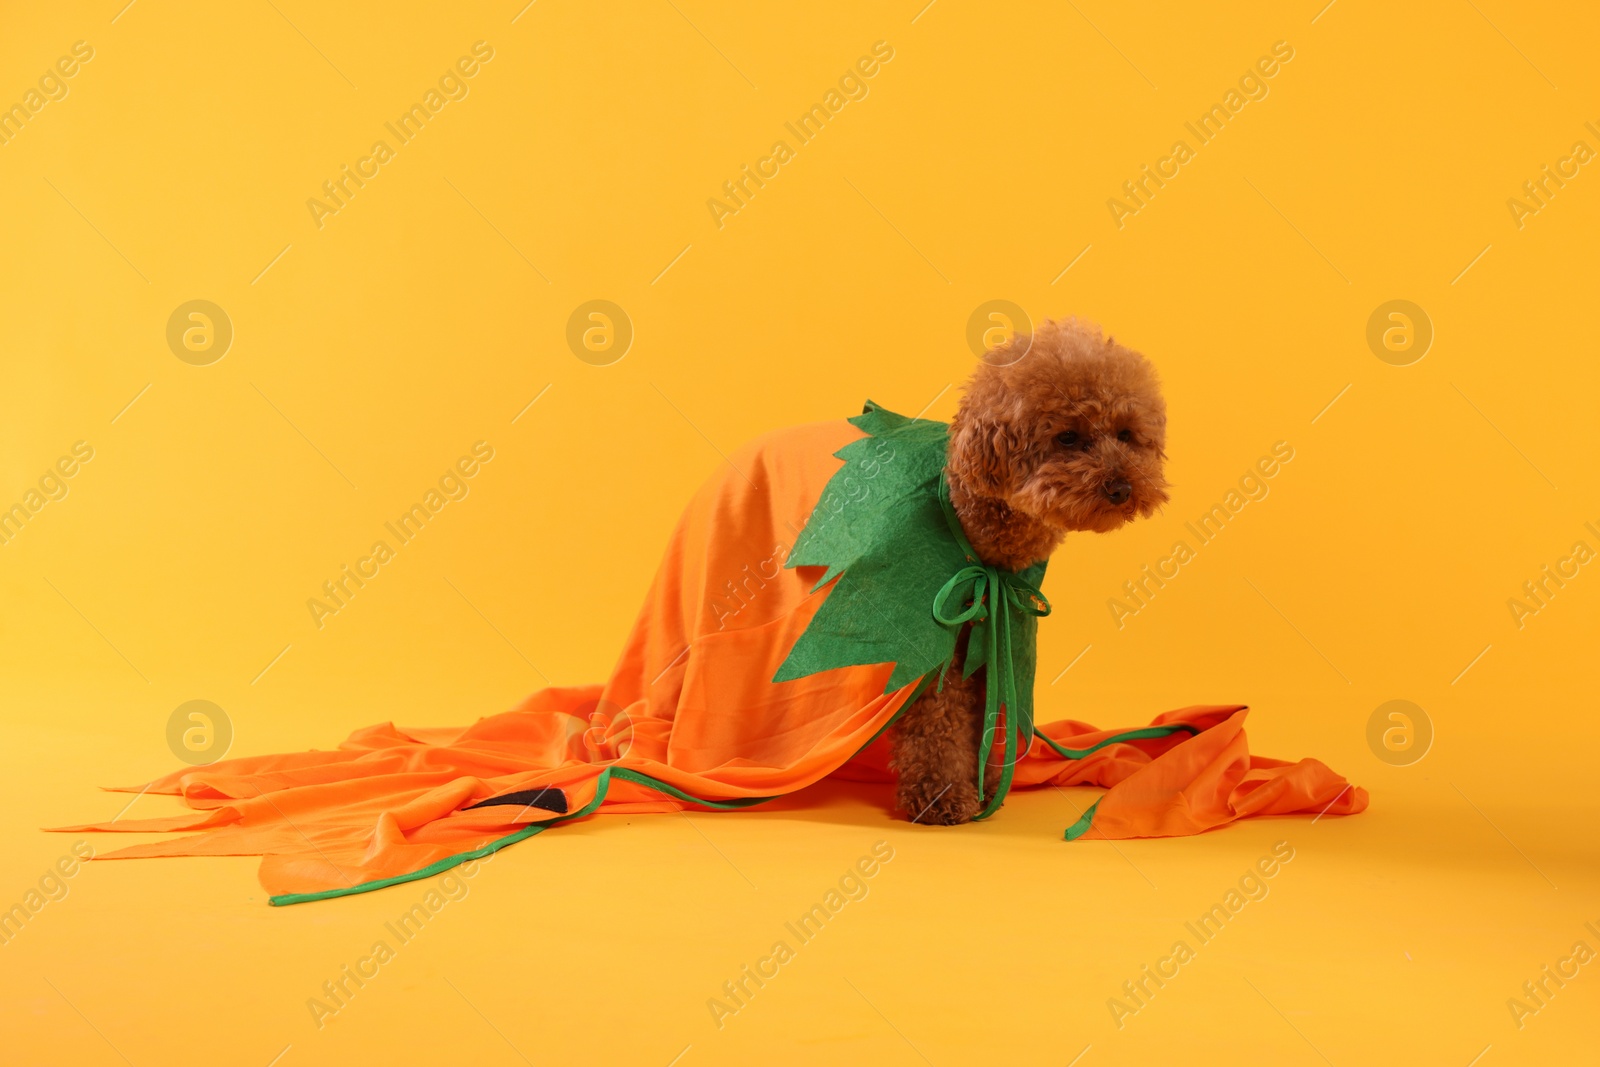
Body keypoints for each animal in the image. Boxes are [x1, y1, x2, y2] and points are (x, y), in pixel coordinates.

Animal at [896, 316, 1171, 825]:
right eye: (1067, 437)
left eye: (1125, 433)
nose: (1122, 487)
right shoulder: (938, 650)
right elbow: (936, 725)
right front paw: (941, 798)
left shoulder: (994, 635)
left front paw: (985, 786)